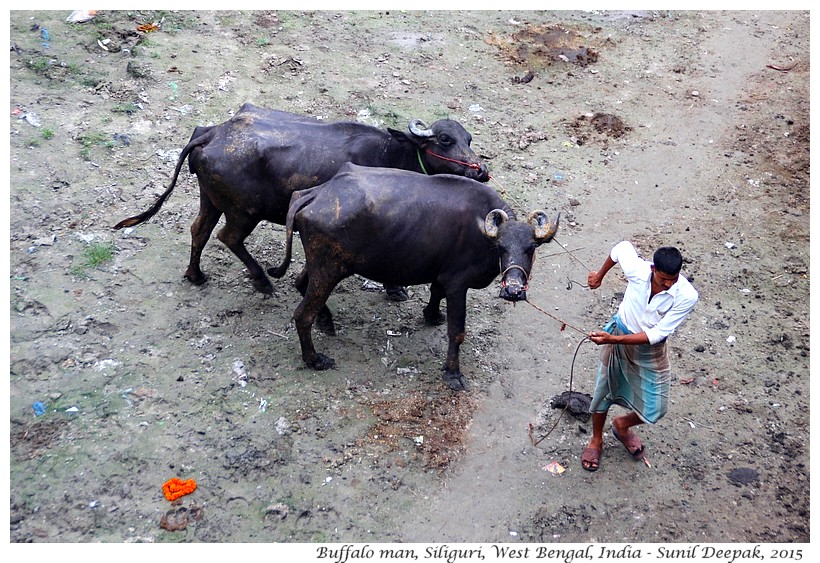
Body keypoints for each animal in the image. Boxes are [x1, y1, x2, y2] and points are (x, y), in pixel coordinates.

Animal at [113, 104, 490, 300]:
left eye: (469, 139)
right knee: (227, 237)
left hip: (211, 199)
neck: (393, 153)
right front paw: (395, 289)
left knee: (199, 231)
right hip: (243, 211)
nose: (482, 170)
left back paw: (195, 275)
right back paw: (262, 281)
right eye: (445, 140)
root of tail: (212, 132)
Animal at [270, 163, 556, 392]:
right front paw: (453, 373)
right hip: (328, 269)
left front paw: (431, 315)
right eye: (501, 248)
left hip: (324, 266)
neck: (482, 234)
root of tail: (316, 193)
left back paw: (326, 321)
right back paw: (314, 359)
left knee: (300, 283)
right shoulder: (458, 284)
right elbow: (457, 332)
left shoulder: (442, 275)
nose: (514, 291)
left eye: (531, 248)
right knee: (302, 314)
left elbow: (435, 292)